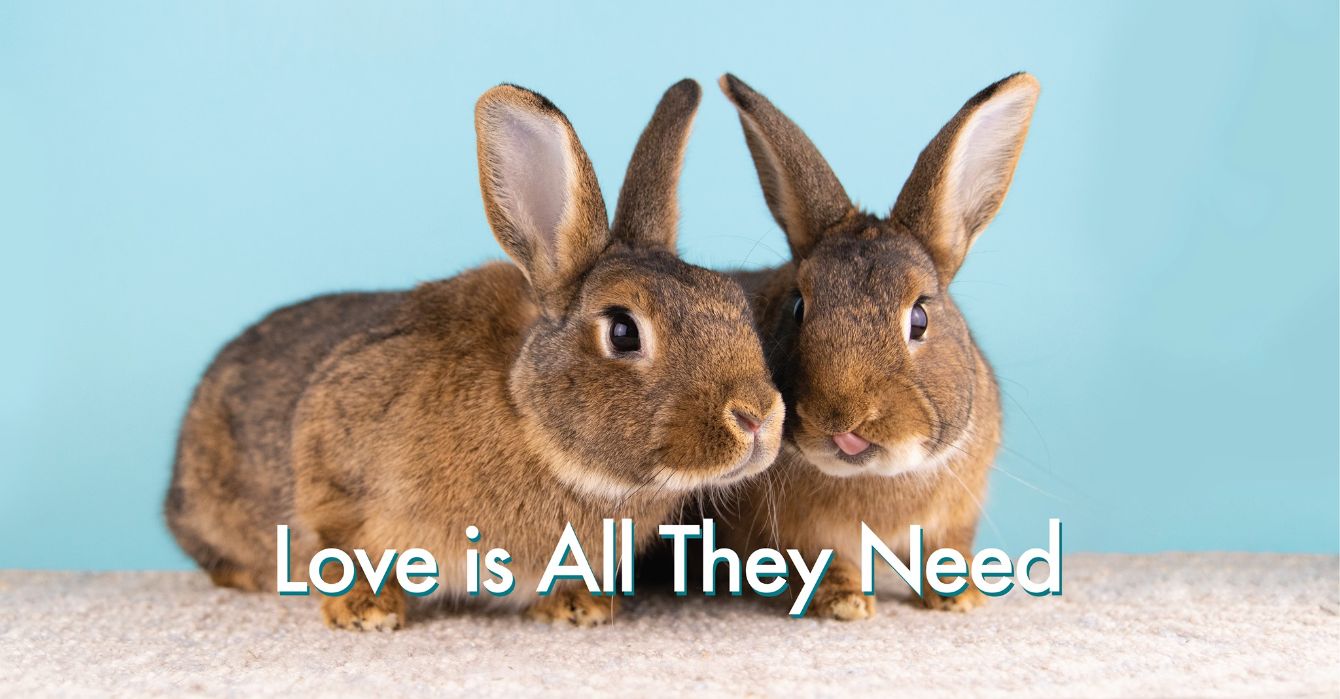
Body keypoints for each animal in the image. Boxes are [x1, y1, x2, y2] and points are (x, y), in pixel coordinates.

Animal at [164, 78, 785, 630]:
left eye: (733, 300)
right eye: (623, 331)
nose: (758, 417)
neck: (528, 418)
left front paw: (579, 608)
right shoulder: (331, 457)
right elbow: (336, 545)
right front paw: (366, 613)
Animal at [711, 73, 1040, 619]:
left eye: (920, 317)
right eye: (799, 307)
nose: (841, 419)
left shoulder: (955, 520)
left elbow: (946, 553)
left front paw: (959, 600)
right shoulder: (802, 538)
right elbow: (824, 563)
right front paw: (846, 605)